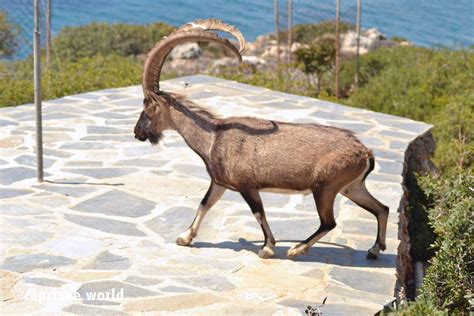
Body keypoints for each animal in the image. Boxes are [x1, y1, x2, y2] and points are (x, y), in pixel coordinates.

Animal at [133, 19, 388, 260]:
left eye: (147, 108)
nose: (137, 133)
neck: (213, 137)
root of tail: (365, 152)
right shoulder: (219, 183)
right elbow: (204, 204)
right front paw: (185, 237)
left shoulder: (247, 186)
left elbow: (258, 213)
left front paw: (267, 248)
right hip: (352, 187)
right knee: (381, 209)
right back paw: (374, 249)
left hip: (325, 188)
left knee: (330, 222)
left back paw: (297, 249)